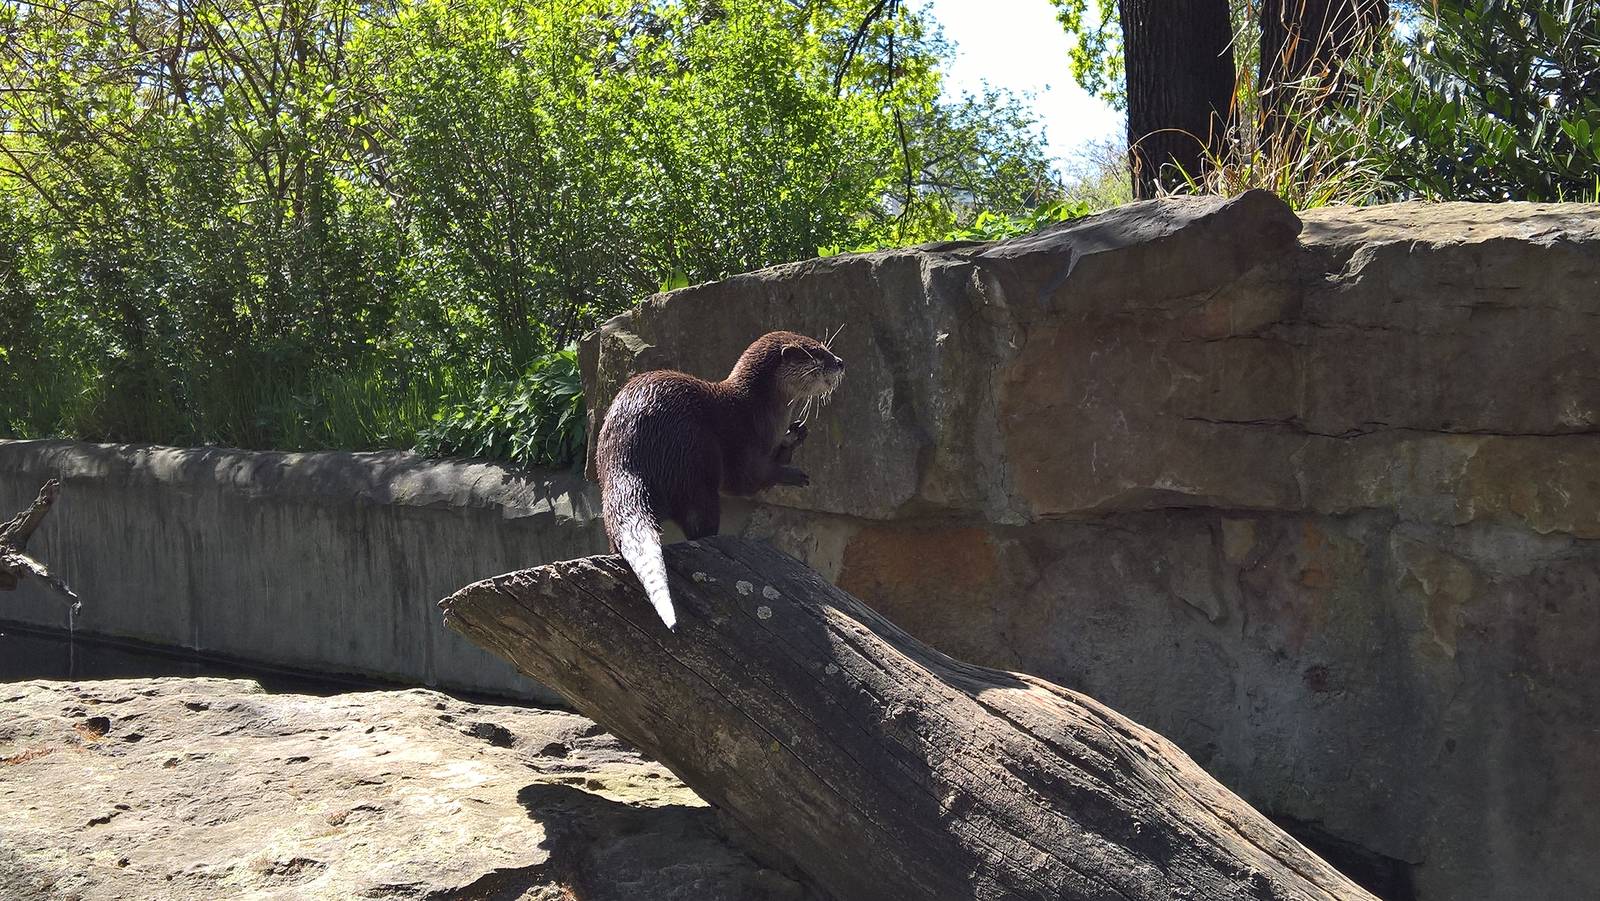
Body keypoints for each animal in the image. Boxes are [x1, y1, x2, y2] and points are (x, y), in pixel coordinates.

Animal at [595, 331, 845, 629]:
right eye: (817, 353)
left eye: (824, 347)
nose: (840, 362)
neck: (758, 410)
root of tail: (628, 458)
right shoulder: (745, 442)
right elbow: (749, 480)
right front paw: (795, 473)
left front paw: (795, 434)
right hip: (692, 462)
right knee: (701, 520)